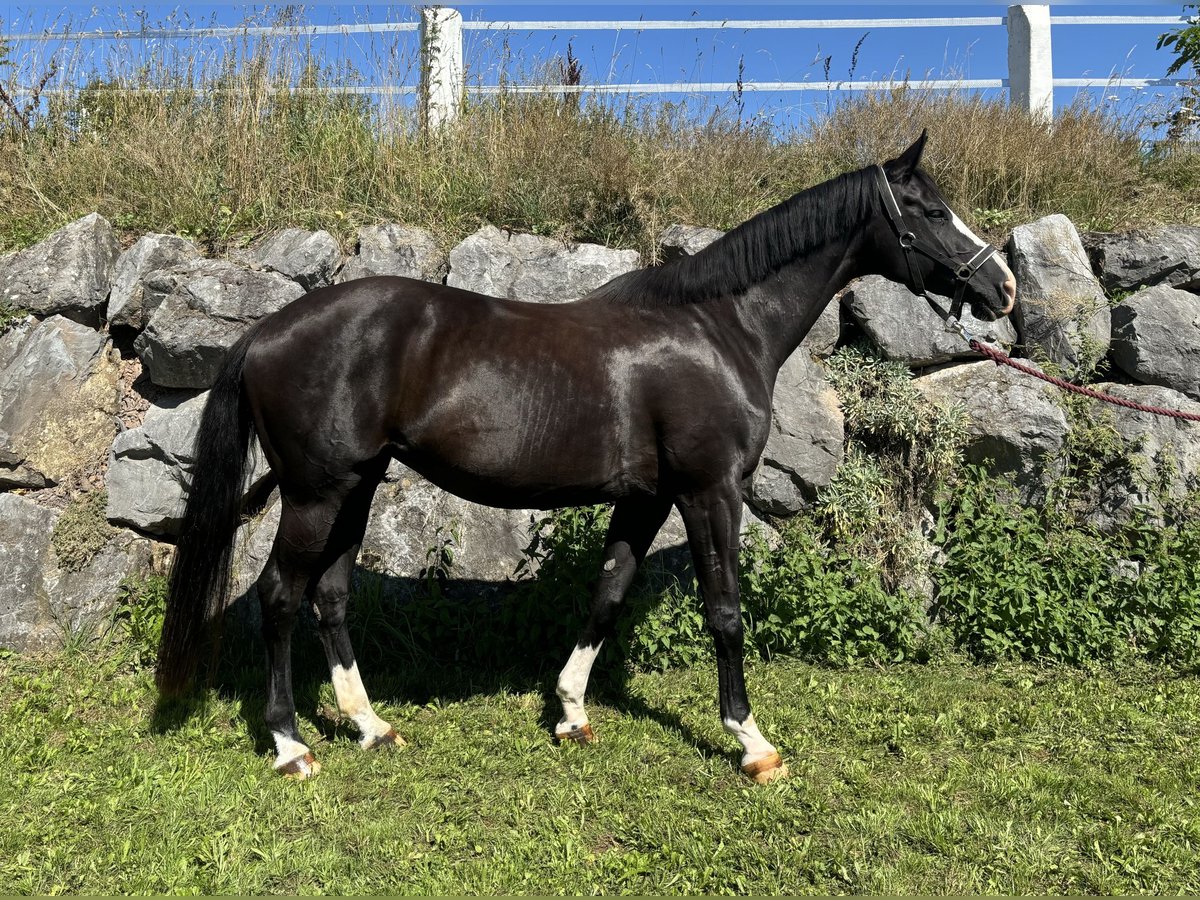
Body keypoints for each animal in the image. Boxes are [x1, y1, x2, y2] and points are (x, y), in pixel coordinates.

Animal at [152, 132, 1012, 782]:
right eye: (930, 209)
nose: (1002, 288)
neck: (719, 327)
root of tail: (268, 330)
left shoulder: (646, 497)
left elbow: (607, 595)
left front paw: (570, 714)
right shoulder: (709, 491)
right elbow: (726, 612)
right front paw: (751, 742)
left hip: (355, 489)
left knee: (330, 597)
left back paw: (371, 726)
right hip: (316, 494)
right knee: (280, 597)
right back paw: (291, 745)